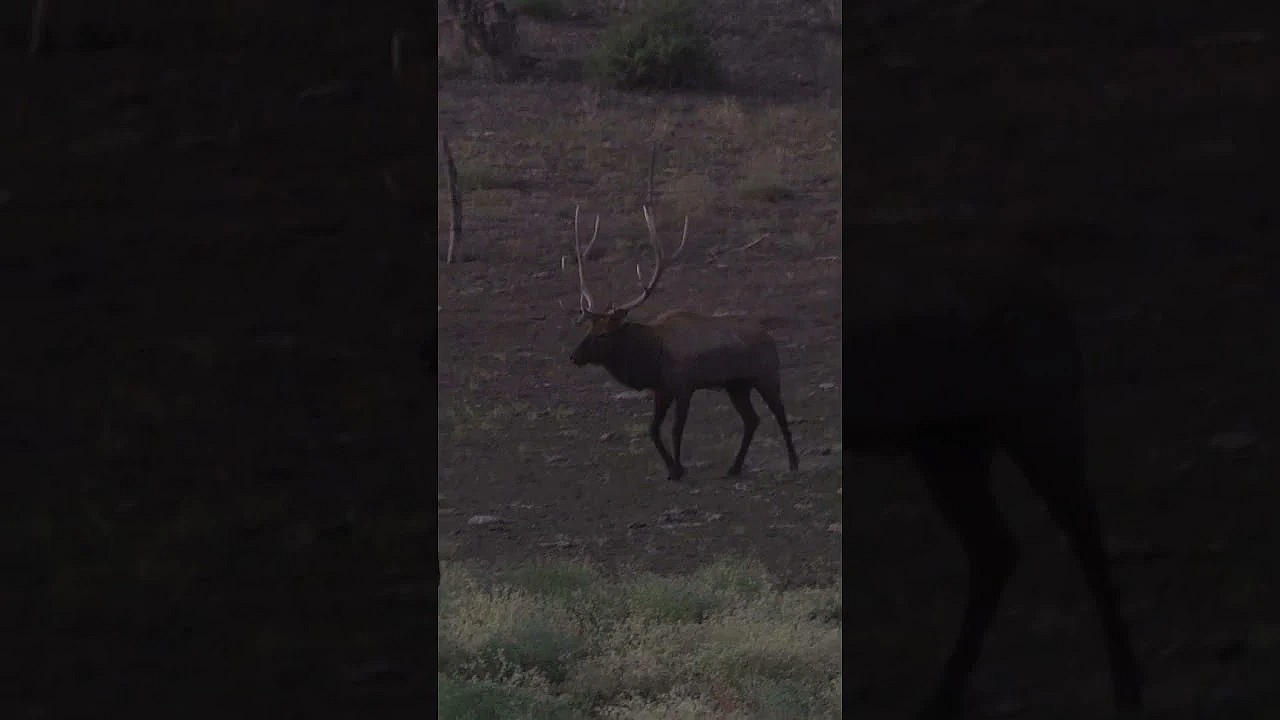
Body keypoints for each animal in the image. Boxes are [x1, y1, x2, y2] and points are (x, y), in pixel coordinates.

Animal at [567, 206, 800, 482]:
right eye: (589, 329)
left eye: (603, 334)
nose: (574, 356)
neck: (652, 357)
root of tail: (771, 339)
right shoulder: (662, 389)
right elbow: (653, 429)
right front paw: (672, 468)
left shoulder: (684, 386)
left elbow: (677, 429)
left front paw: (679, 468)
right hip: (736, 385)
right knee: (752, 419)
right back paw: (734, 467)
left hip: (766, 376)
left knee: (780, 415)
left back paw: (793, 462)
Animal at [845, 255, 1144, 718]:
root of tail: (1053, 301)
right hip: (951, 449)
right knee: (997, 546)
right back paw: (944, 694)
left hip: (1038, 423)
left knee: (1081, 534)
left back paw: (1127, 685)